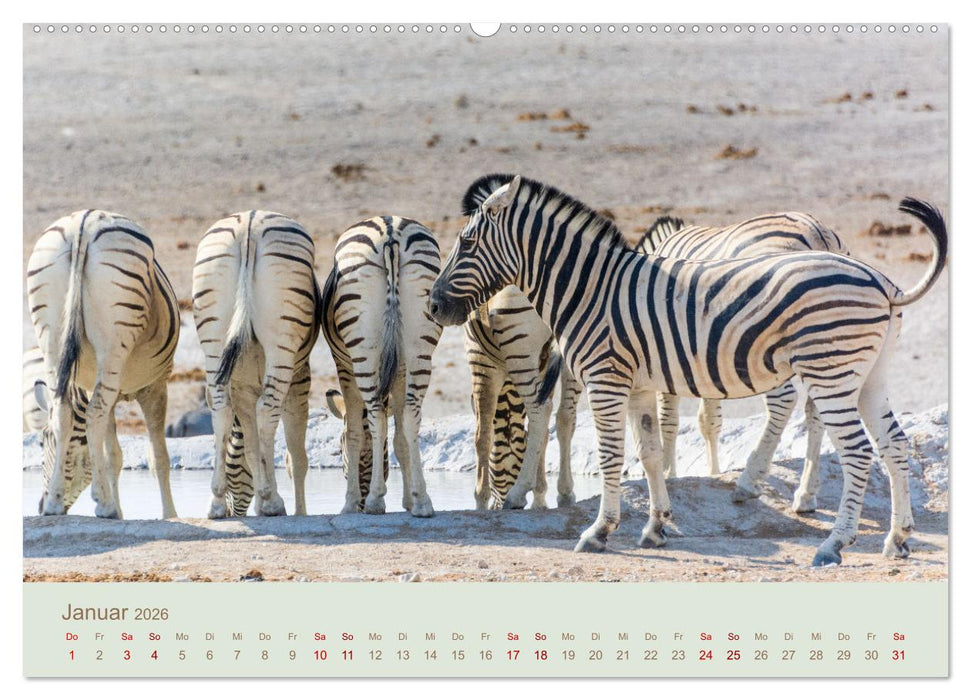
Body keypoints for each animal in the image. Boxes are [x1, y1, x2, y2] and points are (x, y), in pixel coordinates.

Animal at [27, 210, 180, 519]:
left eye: (42, 440)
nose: (38, 506)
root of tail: (83, 223)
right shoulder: (154, 386)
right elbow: (155, 456)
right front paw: (168, 515)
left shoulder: (127, 388)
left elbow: (116, 456)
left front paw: (125, 512)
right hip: (113, 344)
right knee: (95, 411)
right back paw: (103, 504)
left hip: (51, 337)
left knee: (62, 409)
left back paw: (58, 503)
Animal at [192, 210, 319, 518]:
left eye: (234, 473)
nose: (232, 512)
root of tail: (249, 224)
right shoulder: (299, 379)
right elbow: (294, 454)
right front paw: (280, 504)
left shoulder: (242, 387)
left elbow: (252, 446)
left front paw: (264, 500)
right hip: (282, 344)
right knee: (267, 410)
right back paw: (272, 502)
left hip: (214, 338)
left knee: (221, 411)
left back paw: (215, 503)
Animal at [320, 216, 442, 517]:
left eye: (337, 448)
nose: (361, 502)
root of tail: (390, 230)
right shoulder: (399, 370)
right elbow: (399, 437)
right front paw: (410, 499)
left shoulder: (343, 366)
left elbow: (354, 431)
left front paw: (349, 503)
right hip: (420, 344)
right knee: (411, 416)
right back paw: (423, 502)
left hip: (363, 349)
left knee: (376, 415)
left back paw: (376, 500)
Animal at [636, 214, 844, 512]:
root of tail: (816, 232)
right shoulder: (705, 358)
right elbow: (709, 420)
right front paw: (712, 472)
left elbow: (669, 419)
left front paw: (668, 473)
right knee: (817, 408)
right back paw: (805, 496)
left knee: (784, 402)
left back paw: (749, 483)